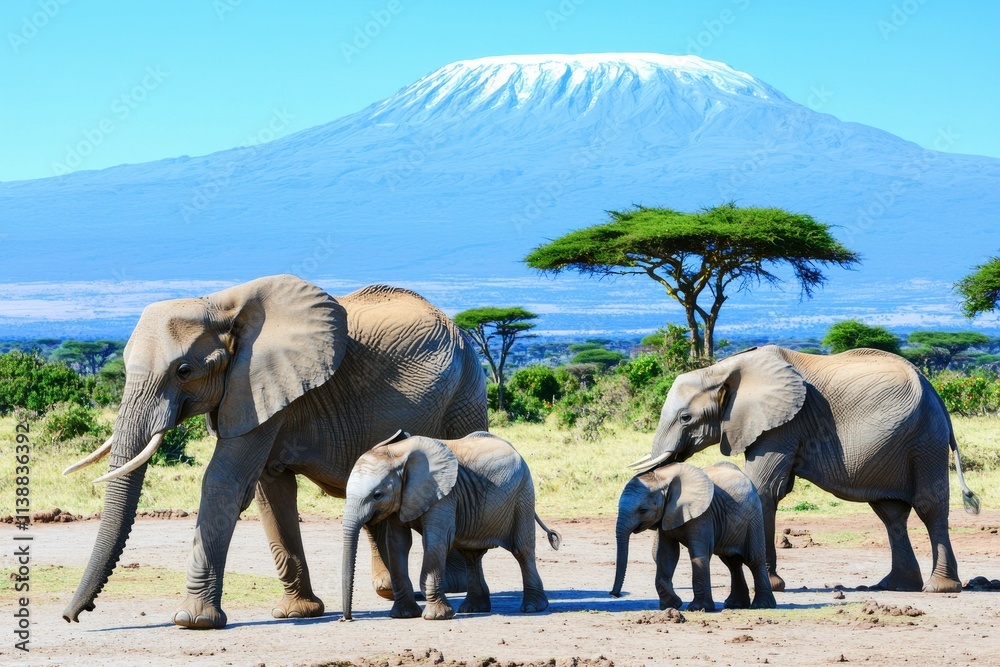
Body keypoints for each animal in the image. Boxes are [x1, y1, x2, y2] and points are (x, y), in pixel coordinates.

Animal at [61, 275, 487, 629]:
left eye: (184, 371)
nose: (72, 616)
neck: (220, 305)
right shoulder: (257, 391)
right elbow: (271, 491)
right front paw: (298, 613)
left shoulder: (257, 384)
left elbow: (225, 482)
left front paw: (193, 621)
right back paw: (387, 591)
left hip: (466, 388)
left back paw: (452, 583)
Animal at [341, 431, 560, 621]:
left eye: (377, 495)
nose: (348, 619)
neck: (397, 453)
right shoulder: (402, 500)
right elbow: (397, 544)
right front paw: (403, 615)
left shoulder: (444, 495)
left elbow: (435, 542)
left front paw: (436, 617)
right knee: (471, 555)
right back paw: (474, 609)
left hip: (523, 495)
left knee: (521, 550)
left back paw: (532, 607)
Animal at [610, 461, 775, 612]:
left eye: (643, 510)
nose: (614, 594)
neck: (662, 478)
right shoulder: (667, 516)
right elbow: (666, 555)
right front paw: (672, 605)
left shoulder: (703, 516)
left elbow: (698, 554)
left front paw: (698, 608)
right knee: (732, 562)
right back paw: (736, 605)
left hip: (753, 518)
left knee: (753, 559)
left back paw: (761, 605)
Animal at [630, 345, 981, 594]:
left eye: (686, 418)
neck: (723, 369)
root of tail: (935, 392)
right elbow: (775, 489)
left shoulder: (781, 425)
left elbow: (764, 489)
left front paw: (771, 586)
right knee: (891, 513)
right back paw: (894, 586)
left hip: (925, 439)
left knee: (928, 506)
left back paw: (937, 587)